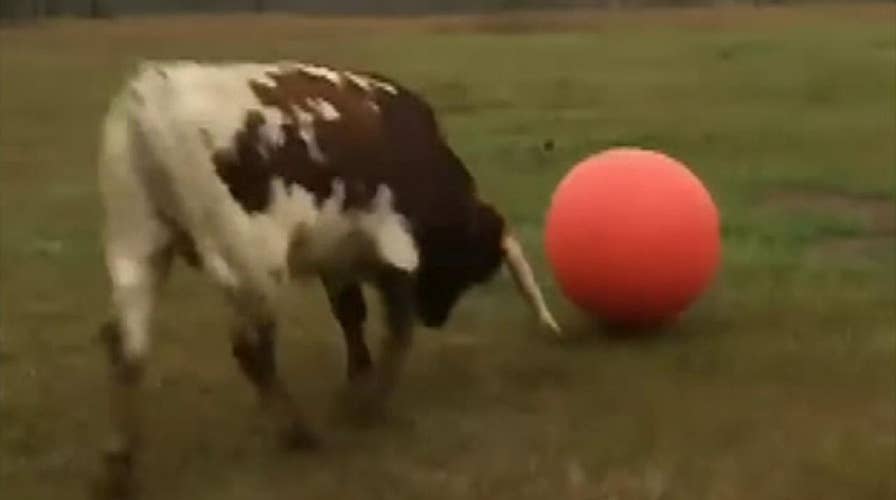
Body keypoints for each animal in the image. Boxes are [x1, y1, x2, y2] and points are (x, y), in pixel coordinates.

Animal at [94, 60, 561, 498]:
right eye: (472, 264)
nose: (437, 316)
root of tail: (151, 95)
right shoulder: (395, 249)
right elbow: (397, 329)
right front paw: (371, 400)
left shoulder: (337, 255)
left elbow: (351, 315)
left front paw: (359, 379)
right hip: (252, 265)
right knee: (251, 349)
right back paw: (297, 432)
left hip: (135, 248)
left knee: (127, 349)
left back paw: (120, 463)